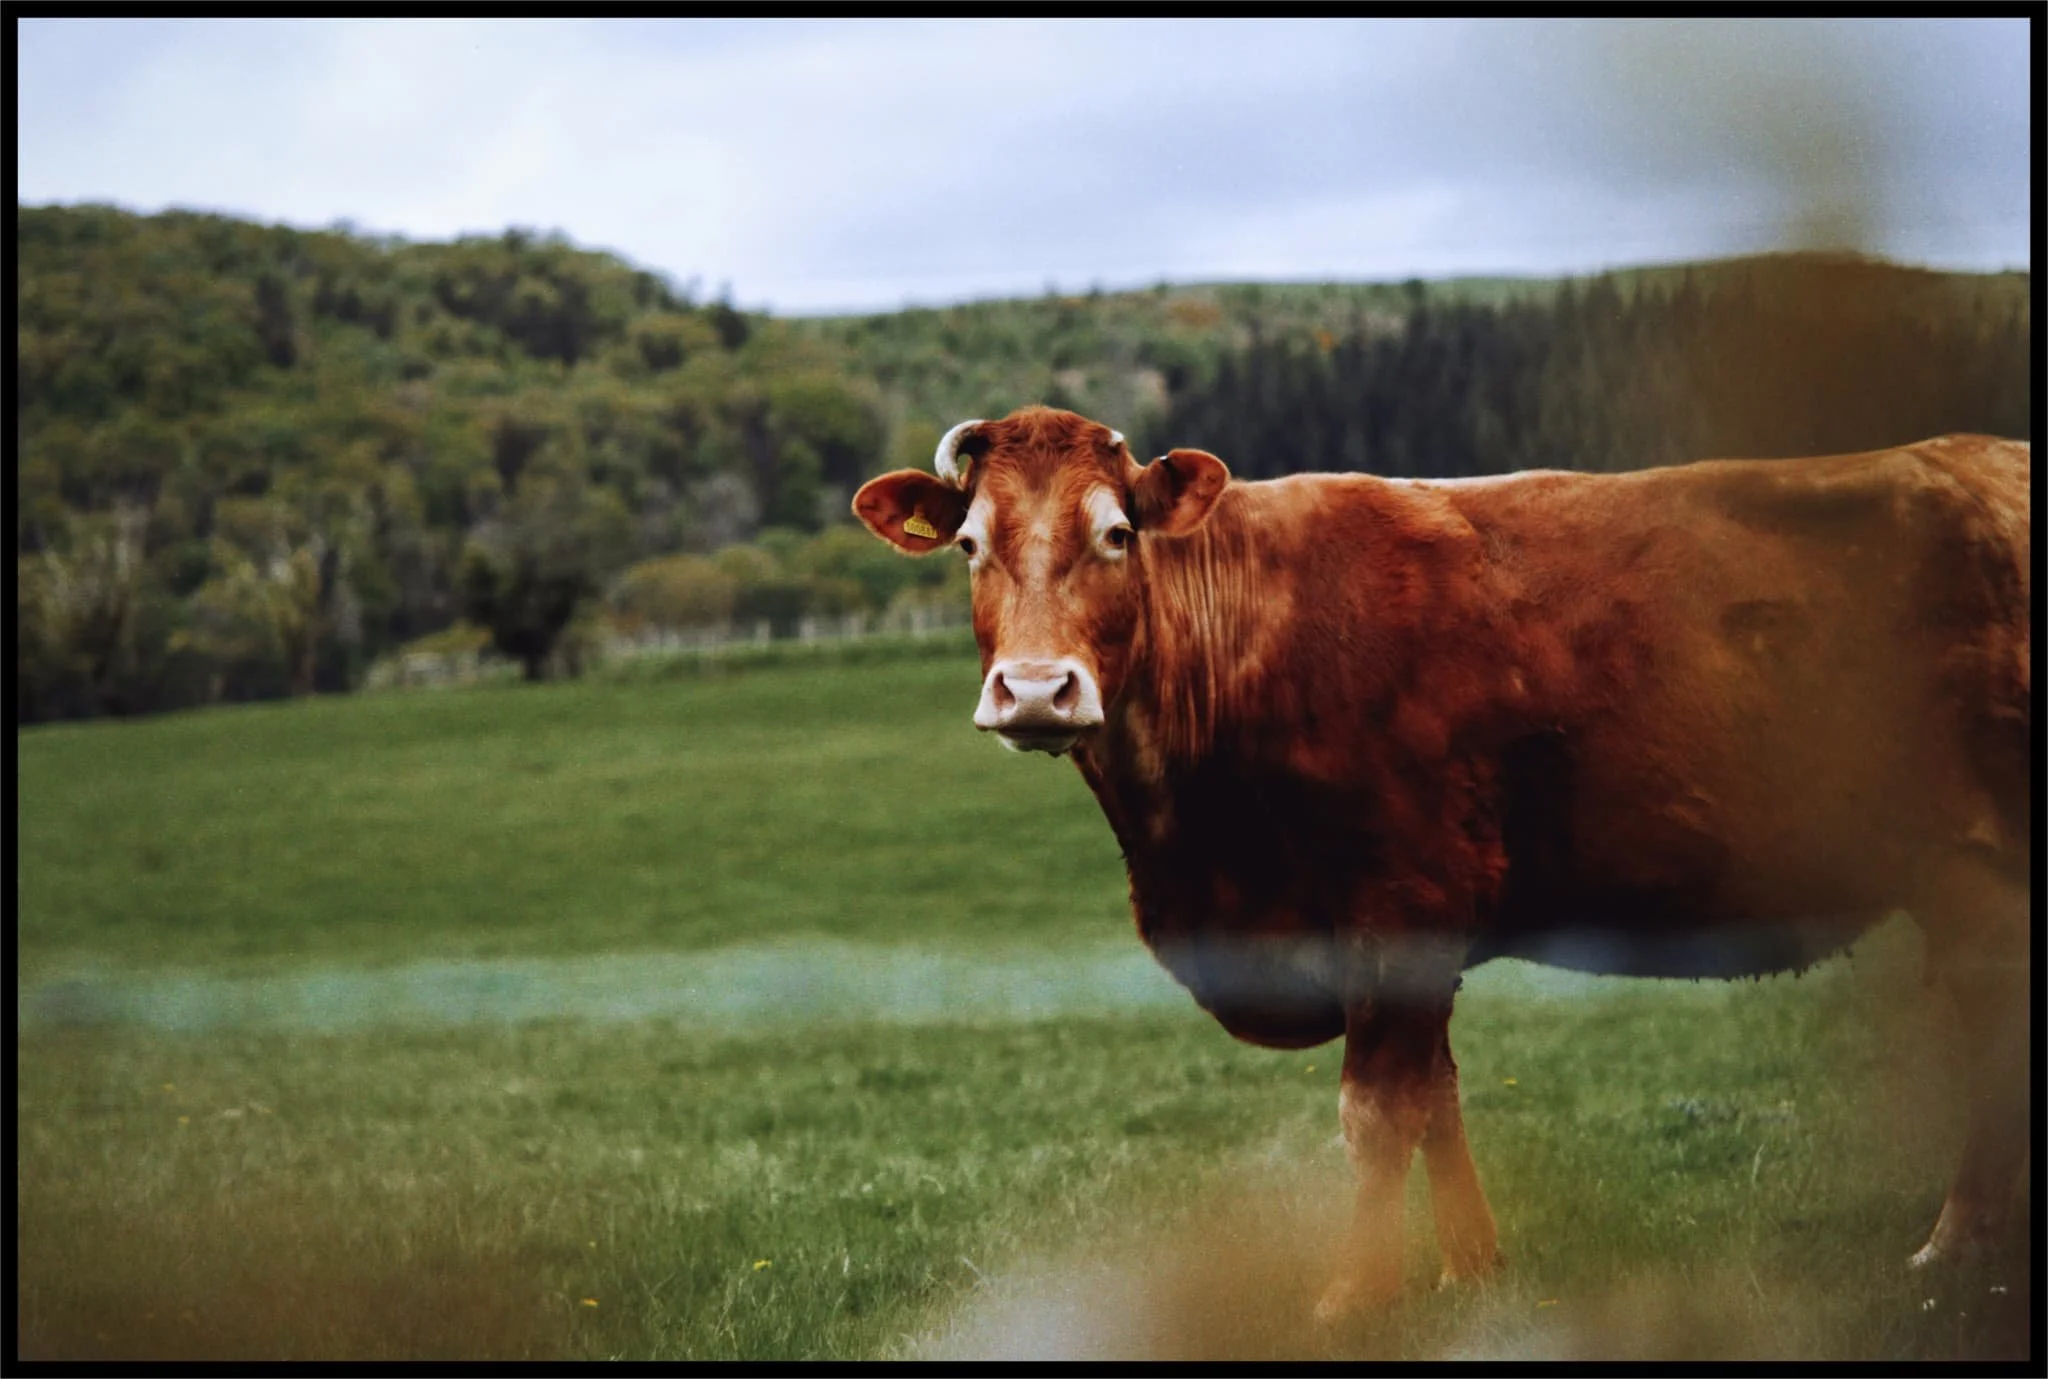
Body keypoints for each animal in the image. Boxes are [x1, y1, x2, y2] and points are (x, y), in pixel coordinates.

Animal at [852, 406, 2031, 1319]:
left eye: (1111, 534)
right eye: (970, 544)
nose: (1035, 689)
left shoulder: (1399, 896)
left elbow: (1379, 1110)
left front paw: (1352, 1293)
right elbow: (1438, 1099)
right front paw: (1473, 1268)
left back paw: (1954, 1239)